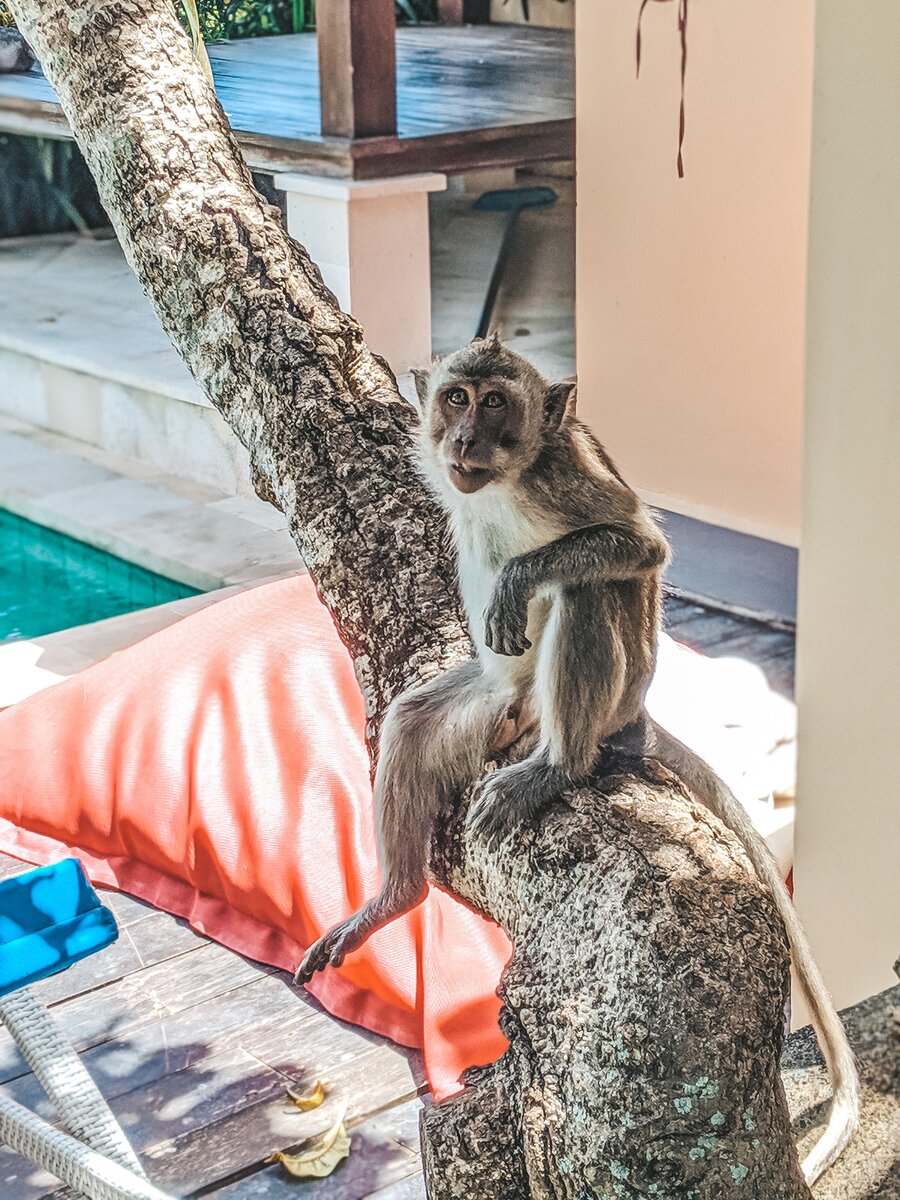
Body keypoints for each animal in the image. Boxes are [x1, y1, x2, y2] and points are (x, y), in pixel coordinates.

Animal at [296, 336, 859, 1180]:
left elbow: (637, 546)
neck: (509, 477)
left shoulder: (564, 471)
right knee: (416, 718)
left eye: (498, 403)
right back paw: (395, 897)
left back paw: (555, 769)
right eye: (456, 399)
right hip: (493, 698)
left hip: (603, 699)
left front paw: (520, 576)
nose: (467, 439)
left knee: (589, 591)